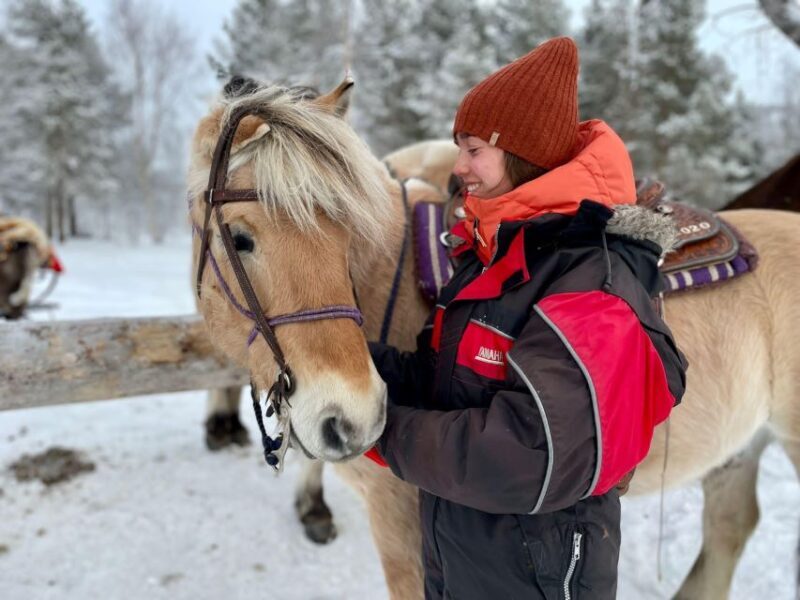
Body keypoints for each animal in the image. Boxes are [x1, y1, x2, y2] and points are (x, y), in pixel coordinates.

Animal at [187, 80, 800, 599]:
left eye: (345, 234)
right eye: (239, 239)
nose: (354, 419)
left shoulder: (400, 523)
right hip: (738, 449)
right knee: (729, 528)